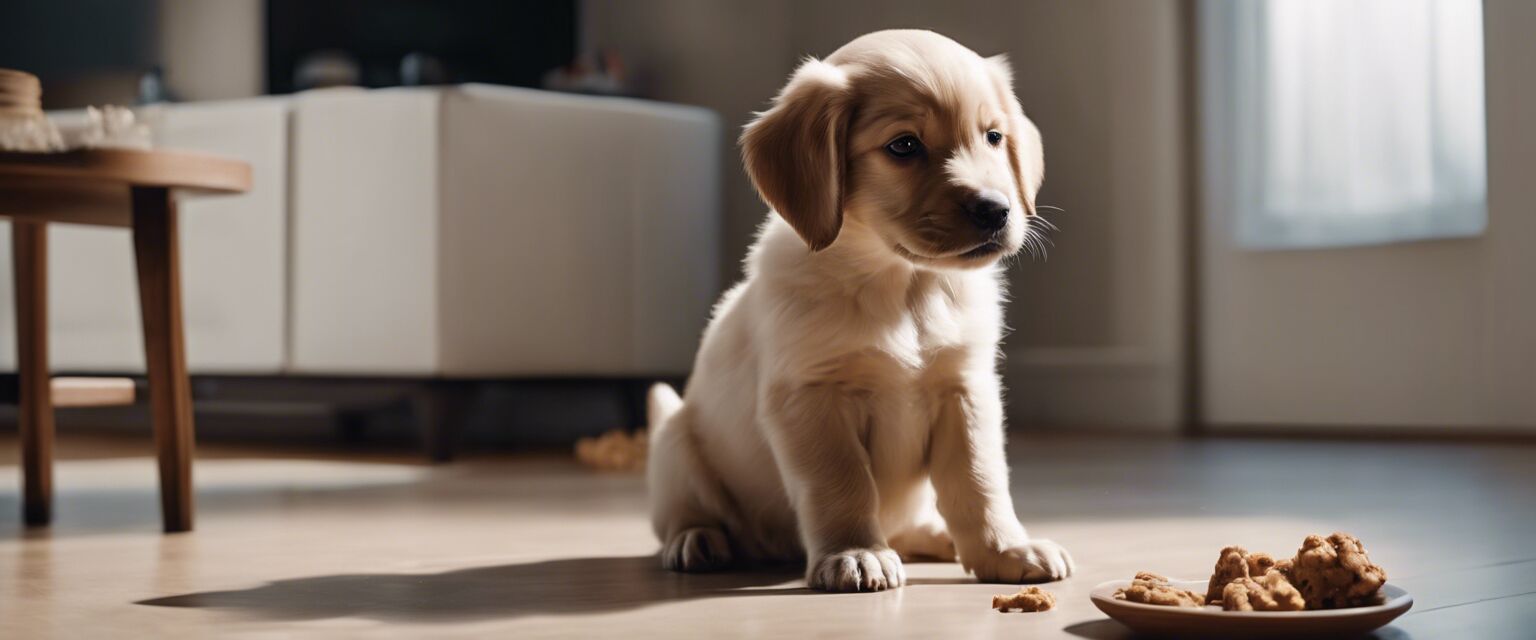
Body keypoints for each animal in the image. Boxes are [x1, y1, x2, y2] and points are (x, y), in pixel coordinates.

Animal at [645, 28, 1069, 589]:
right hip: (675, 446)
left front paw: (1006, 549)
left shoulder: (964, 391)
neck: (904, 286)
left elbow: (980, 483)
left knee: (908, 525)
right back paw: (698, 539)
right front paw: (854, 552)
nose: (996, 210)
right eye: (904, 145)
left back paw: (936, 536)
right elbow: (842, 483)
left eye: (994, 137)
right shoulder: (811, 397)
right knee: (685, 513)